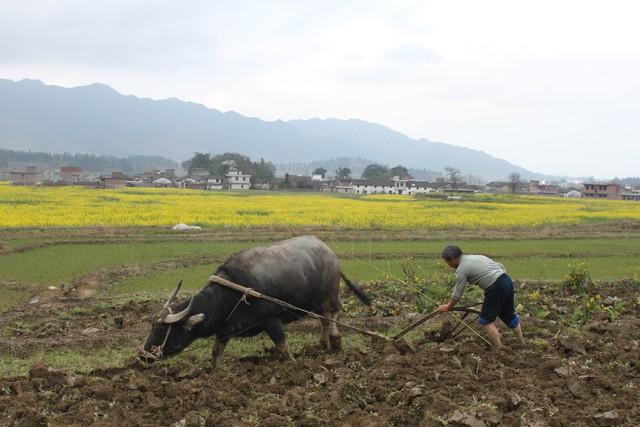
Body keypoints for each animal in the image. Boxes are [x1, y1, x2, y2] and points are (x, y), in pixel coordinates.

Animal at [140, 236, 370, 366]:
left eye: (162, 330)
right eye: (152, 327)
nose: (143, 355)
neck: (230, 296)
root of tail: (328, 252)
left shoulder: (271, 321)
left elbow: (283, 347)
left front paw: (294, 365)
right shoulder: (224, 330)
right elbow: (215, 354)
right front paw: (213, 372)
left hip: (330, 294)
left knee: (333, 315)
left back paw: (335, 341)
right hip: (315, 302)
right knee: (323, 320)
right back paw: (322, 344)